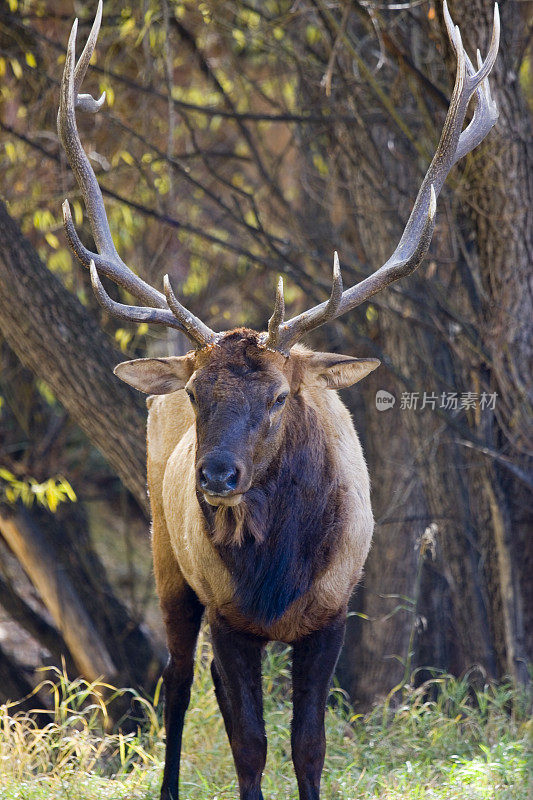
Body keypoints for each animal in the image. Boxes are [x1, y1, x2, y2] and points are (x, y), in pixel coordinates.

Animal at [58, 3, 498, 796]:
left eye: (279, 396)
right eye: (197, 390)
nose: (215, 475)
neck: (277, 579)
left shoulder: (333, 613)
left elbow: (309, 744)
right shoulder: (230, 617)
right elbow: (249, 744)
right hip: (165, 558)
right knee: (176, 683)